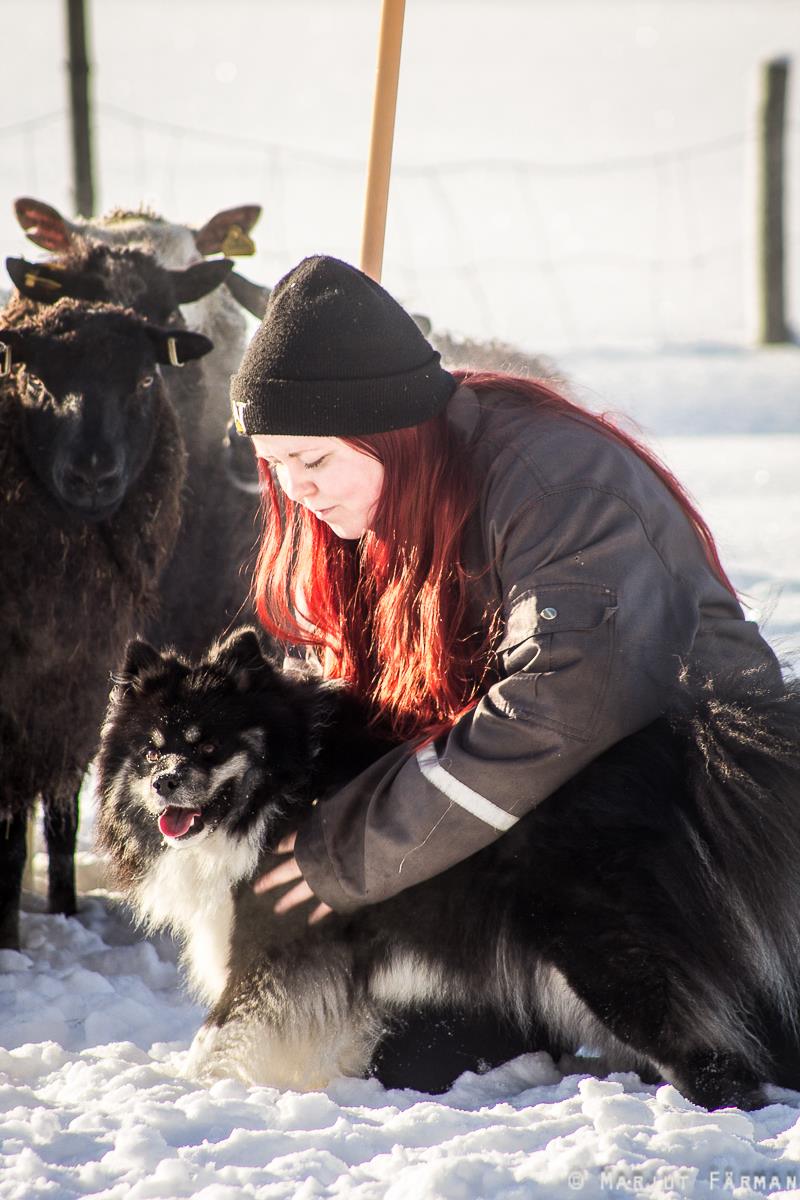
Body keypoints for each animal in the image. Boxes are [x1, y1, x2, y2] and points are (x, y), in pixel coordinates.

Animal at [0, 297, 212, 945]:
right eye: (37, 381)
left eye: (144, 379)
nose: (93, 475)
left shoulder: (76, 689)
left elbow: (58, 815)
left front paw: (62, 912)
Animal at [95, 628, 800, 1104]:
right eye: (151, 748)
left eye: (207, 745)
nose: (165, 782)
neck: (282, 789)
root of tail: (678, 756)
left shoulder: (271, 943)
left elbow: (221, 1034)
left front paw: (190, 1092)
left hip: (607, 958)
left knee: (712, 1061)